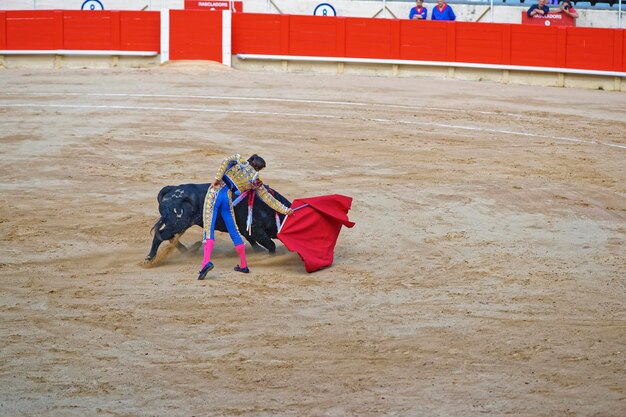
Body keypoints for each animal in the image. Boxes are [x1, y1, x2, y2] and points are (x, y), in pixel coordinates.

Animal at [145, 183, 292, 264]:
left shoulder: (247, 231)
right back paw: (150, 258)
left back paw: (190, 250)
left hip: (179, 224)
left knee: (169, 237)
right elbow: (271, 245)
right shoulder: (256, 230)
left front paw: (259, 252)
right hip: (178, 222)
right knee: (161, 236)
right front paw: (268, 257)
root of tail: (172, 189)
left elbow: (254, 243)